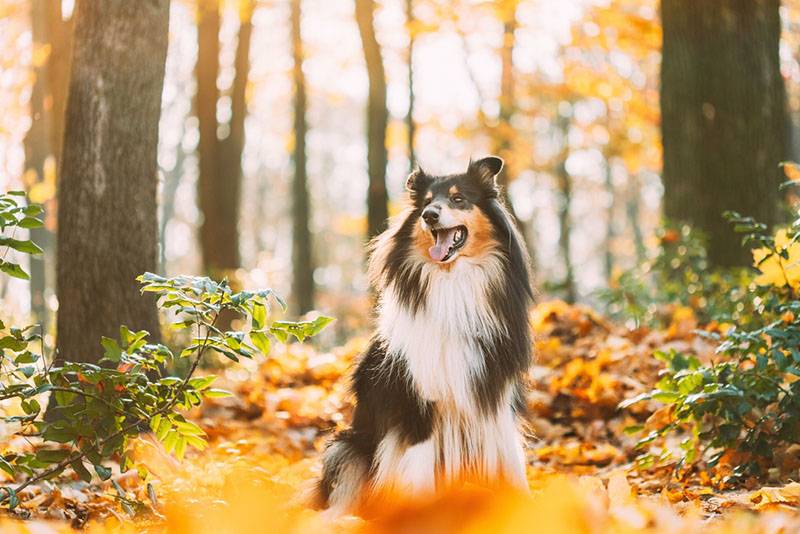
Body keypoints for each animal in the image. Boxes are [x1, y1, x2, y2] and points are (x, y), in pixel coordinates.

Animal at [312, 156, 532, 516]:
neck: (452, 283)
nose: (430, 215)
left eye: (458, 198)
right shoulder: (417, 403)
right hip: (346, 447)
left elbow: (512, 465)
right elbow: (418, 472)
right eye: (427, 202)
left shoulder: (494, 395)